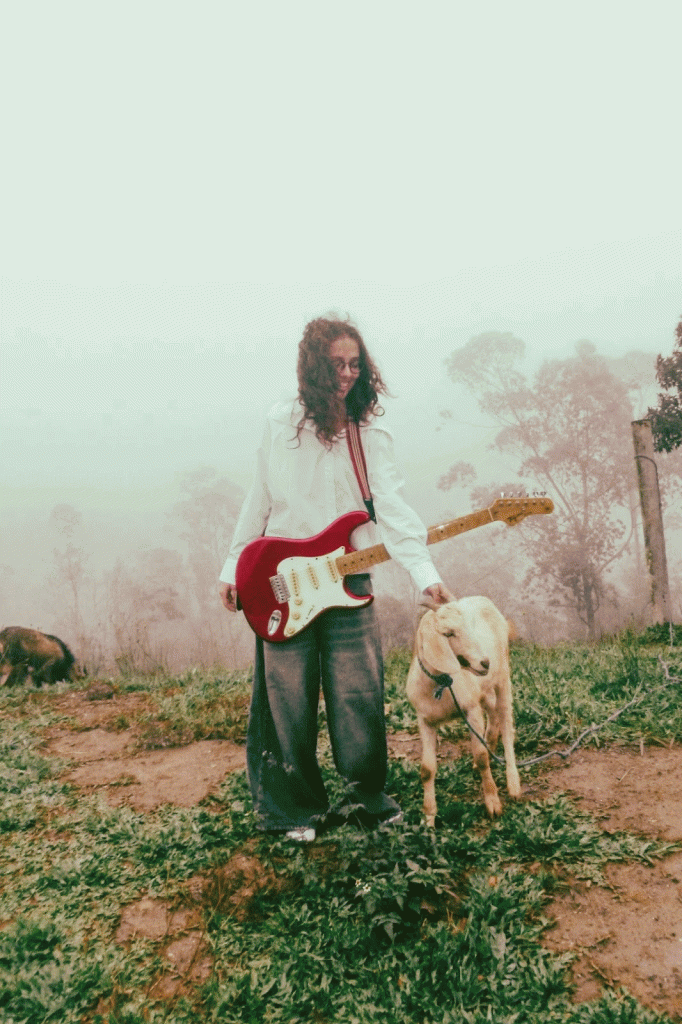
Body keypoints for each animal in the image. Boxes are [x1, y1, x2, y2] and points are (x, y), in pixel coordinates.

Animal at [406, 596, 521, 824]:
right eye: (449, 633)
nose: (485, 662)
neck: (441, 685)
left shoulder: (471, 710)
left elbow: (481, 757)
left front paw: (493, 803)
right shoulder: (425, 720)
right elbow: (427, 769)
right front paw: (428, 817)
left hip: (502, 678)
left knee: (505, 723)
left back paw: (513, 783)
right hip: (484, 689)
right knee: (493, 714)